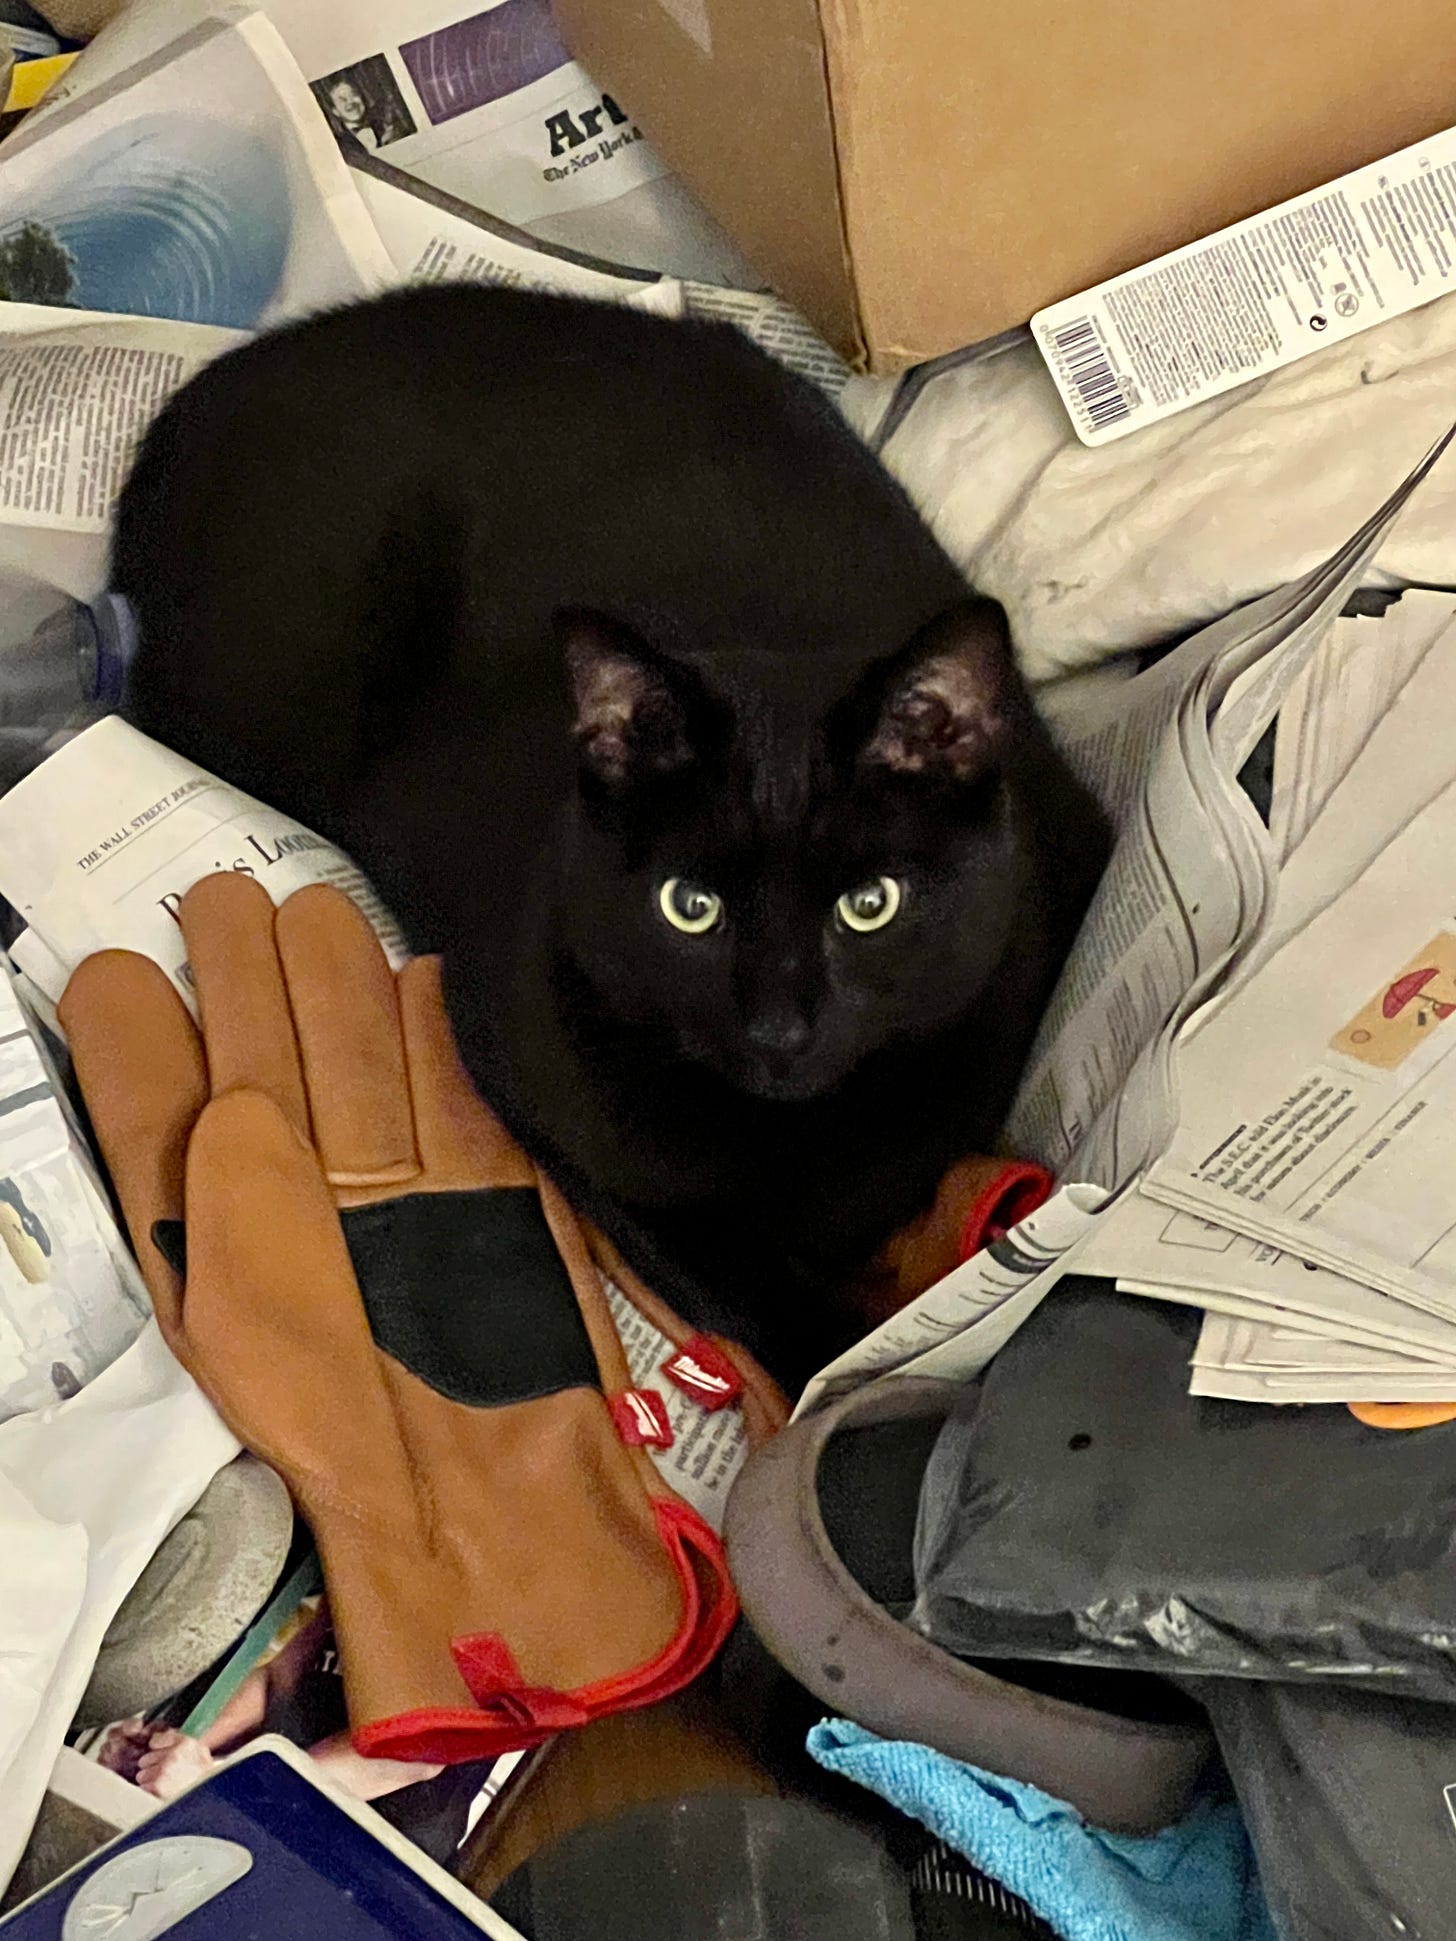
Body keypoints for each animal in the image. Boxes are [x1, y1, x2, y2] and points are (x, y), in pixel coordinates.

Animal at [114, 283, 1110, 1381]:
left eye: (870, 904)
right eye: (690, 907)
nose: (779, 1028)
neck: (792, 1140)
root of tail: (203, 395)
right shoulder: (546, 1089)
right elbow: (767, 1309)